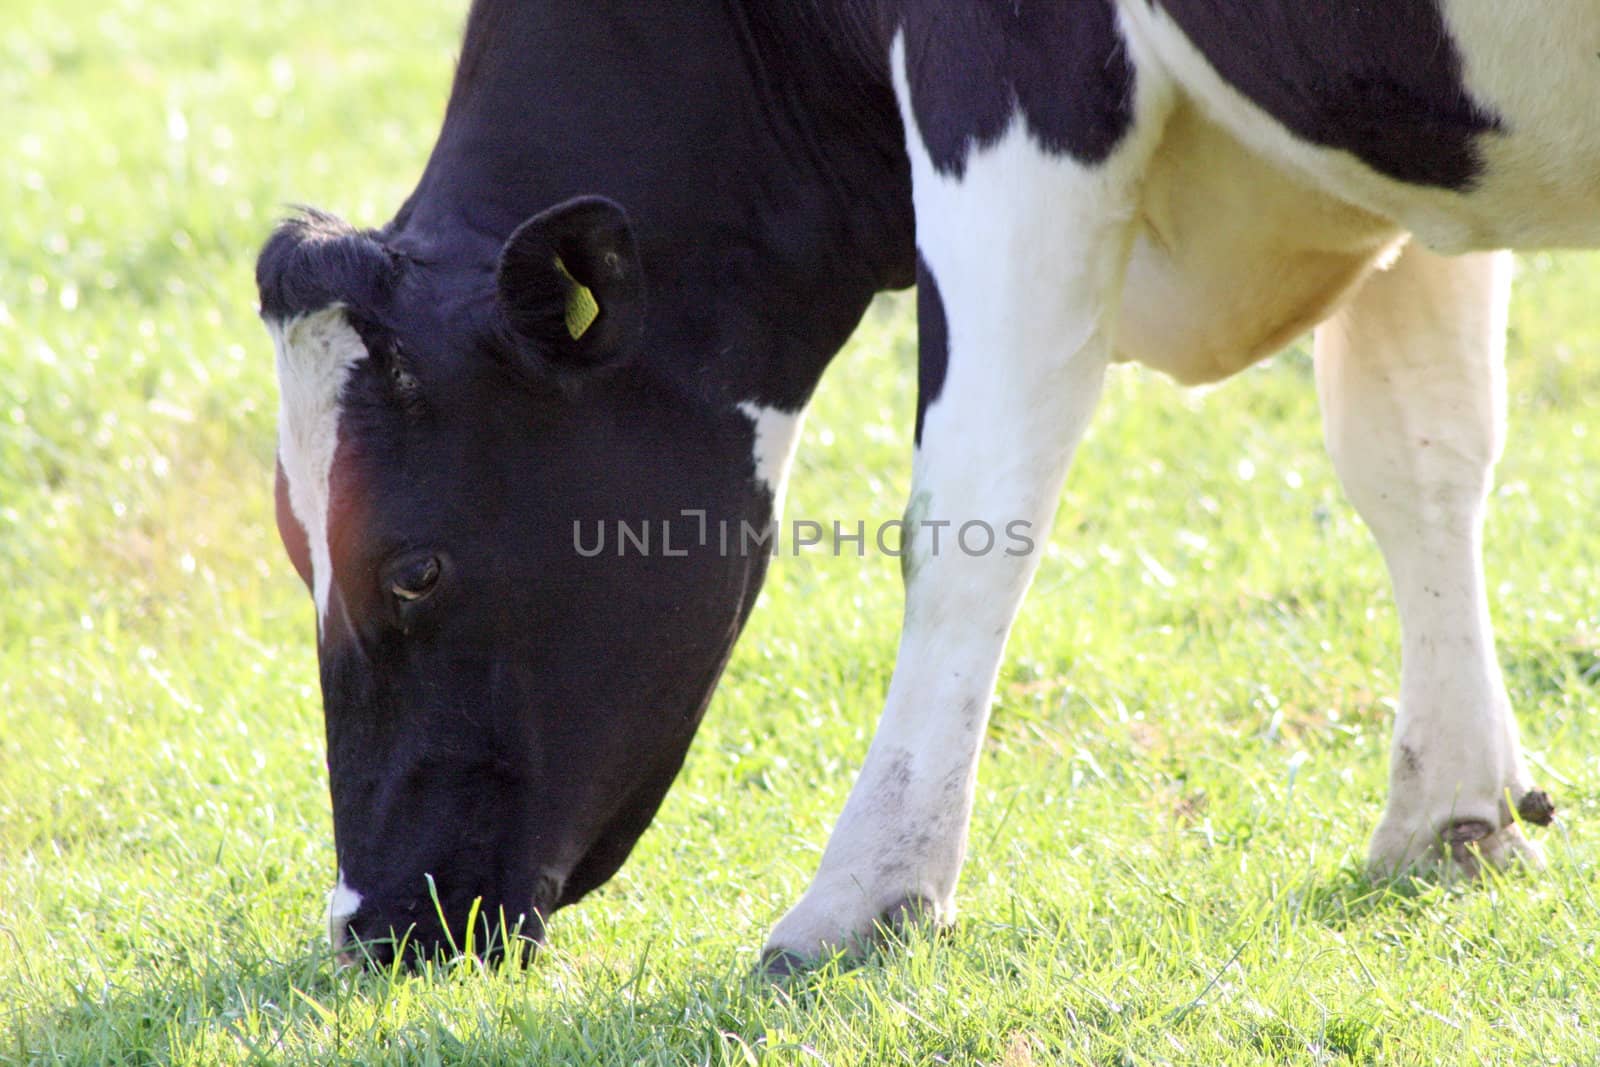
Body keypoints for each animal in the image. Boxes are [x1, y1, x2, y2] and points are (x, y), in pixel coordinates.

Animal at [252, 0, 1587, 966]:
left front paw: (868, 893)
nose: (371, 923)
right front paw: (1451, 813)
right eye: (291, 545)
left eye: (414, 567)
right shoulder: (1390, 149)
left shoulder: (1007, 88)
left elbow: (970, 508)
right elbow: (1418, 452)